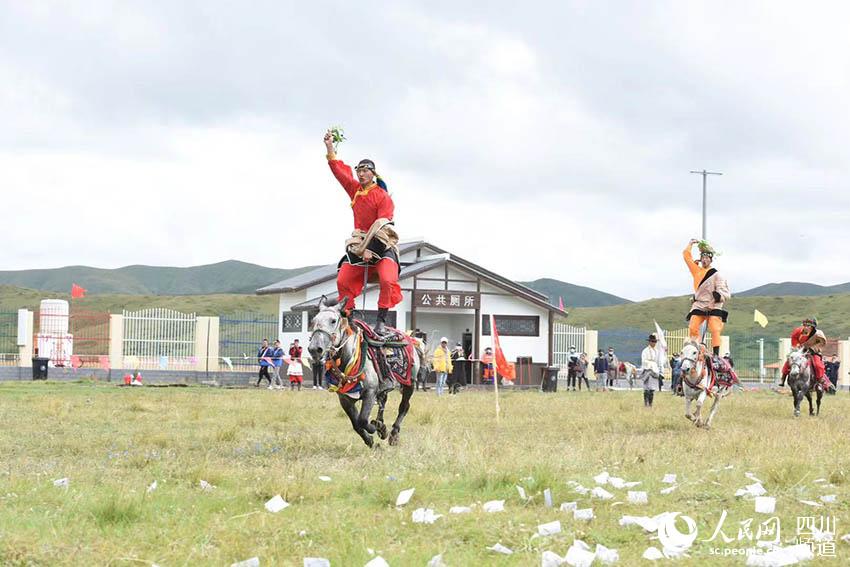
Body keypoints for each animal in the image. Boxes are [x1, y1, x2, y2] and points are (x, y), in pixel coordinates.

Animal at [306, 298, 422, 448]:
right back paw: (380, 423)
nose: (315, 349)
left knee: (404, 407)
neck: (348, 359)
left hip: (409, 382)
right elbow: (356, 424)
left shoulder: (370, 393)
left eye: (333, 320)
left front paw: (377, 429)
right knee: (383, 401)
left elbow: (362, 420)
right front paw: (372, 440)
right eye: (313, 321)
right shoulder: (345, 399)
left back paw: (393, 434)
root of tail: (409, 338)